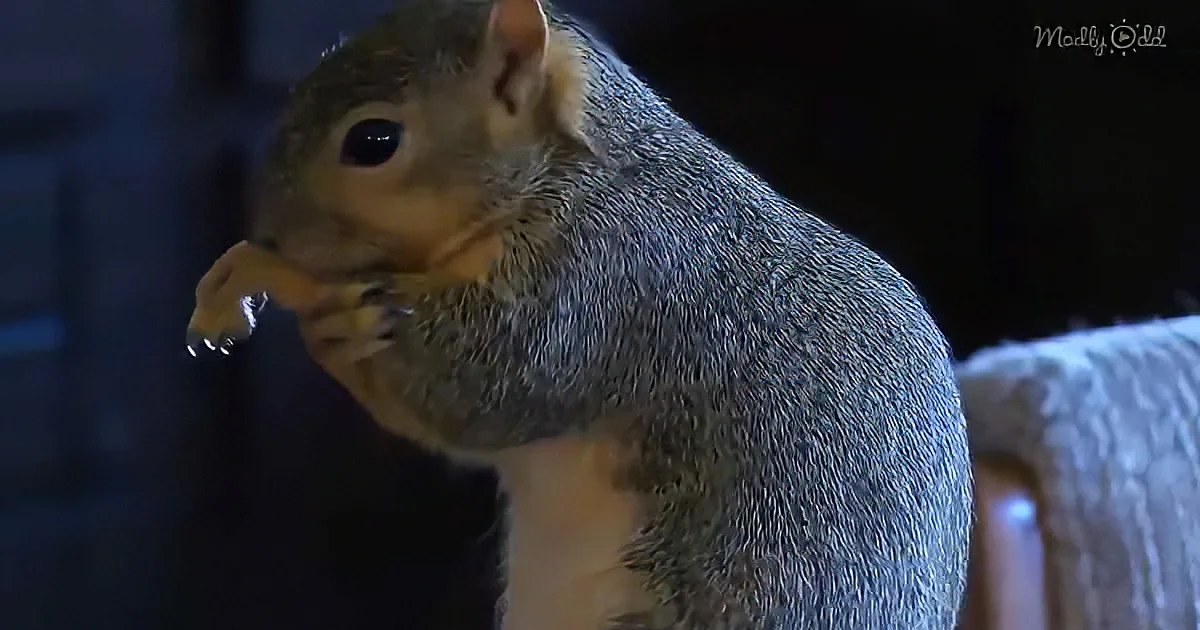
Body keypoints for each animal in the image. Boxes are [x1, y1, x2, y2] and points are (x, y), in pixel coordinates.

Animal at [186, 0, 973, 628]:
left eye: (373, 141)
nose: (270, 230)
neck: (572, 173)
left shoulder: (609, 282)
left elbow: (485, 386)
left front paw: (283, 282)